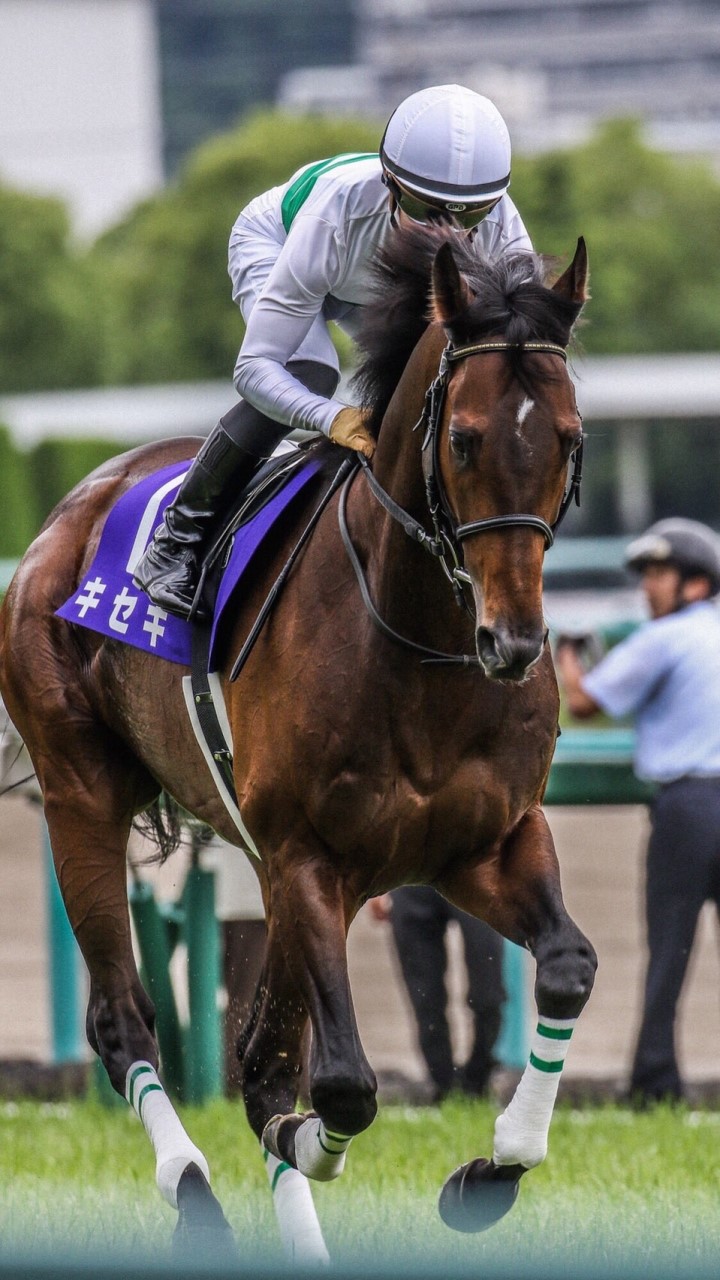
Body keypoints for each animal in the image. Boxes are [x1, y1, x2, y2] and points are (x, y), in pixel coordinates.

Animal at [1, 227, 594, 1259]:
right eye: (465, 438)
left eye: (567, 439)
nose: (513, 642)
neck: (421, 646)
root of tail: (68, 514)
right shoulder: (307, 854)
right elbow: (344, 1085)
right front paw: (309, 1140)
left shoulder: (483, 843)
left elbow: (563, 967)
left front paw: (490, 1171)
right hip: (81, 794)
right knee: (125, 1020)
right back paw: (192, 1190)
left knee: (263, 1059)